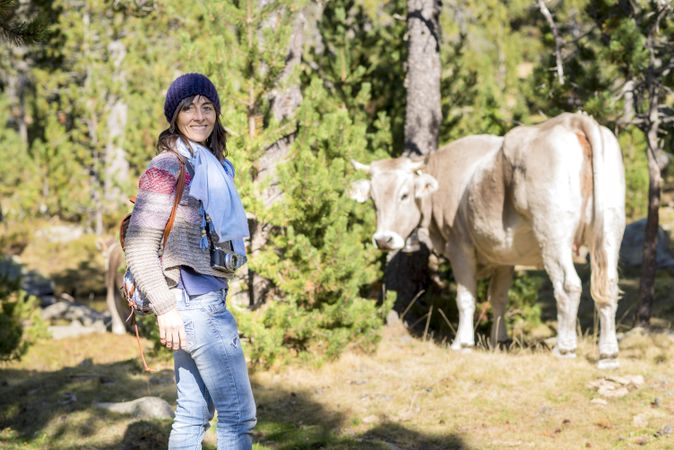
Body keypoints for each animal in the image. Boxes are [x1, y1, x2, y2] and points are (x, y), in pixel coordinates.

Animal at [352, 112, 624, 370]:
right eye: (373, 199)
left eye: (405, 195)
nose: (383, 239)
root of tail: (572, 121)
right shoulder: (505, 255)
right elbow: (499, 297)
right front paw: (499, 340)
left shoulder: (459, 247)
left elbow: (465, 298)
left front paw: (462, 343)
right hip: (610, 230)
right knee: (609, 286)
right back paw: (608, 354)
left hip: (553, 236)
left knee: (568, 286)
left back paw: (565, 348)